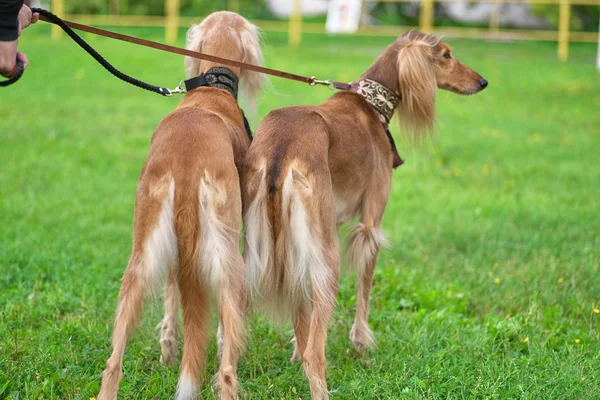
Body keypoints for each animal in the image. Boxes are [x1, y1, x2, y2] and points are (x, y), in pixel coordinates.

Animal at [98, 12, 264, 400]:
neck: (212, 89)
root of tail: (188, 163)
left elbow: (172, 291)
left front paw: (169, 348)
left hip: (142, 249)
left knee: (113, 362)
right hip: (227, 253)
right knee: (227, 367)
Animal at [243, 32, 488, 400]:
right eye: (446, 55)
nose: (482, 81)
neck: (370, 104)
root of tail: (280, 149)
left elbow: (301, 315)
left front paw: (294, 348)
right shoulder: (370, 223)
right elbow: (364, 285)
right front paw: (360, 341)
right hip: (327, 255)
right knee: (315, 354)